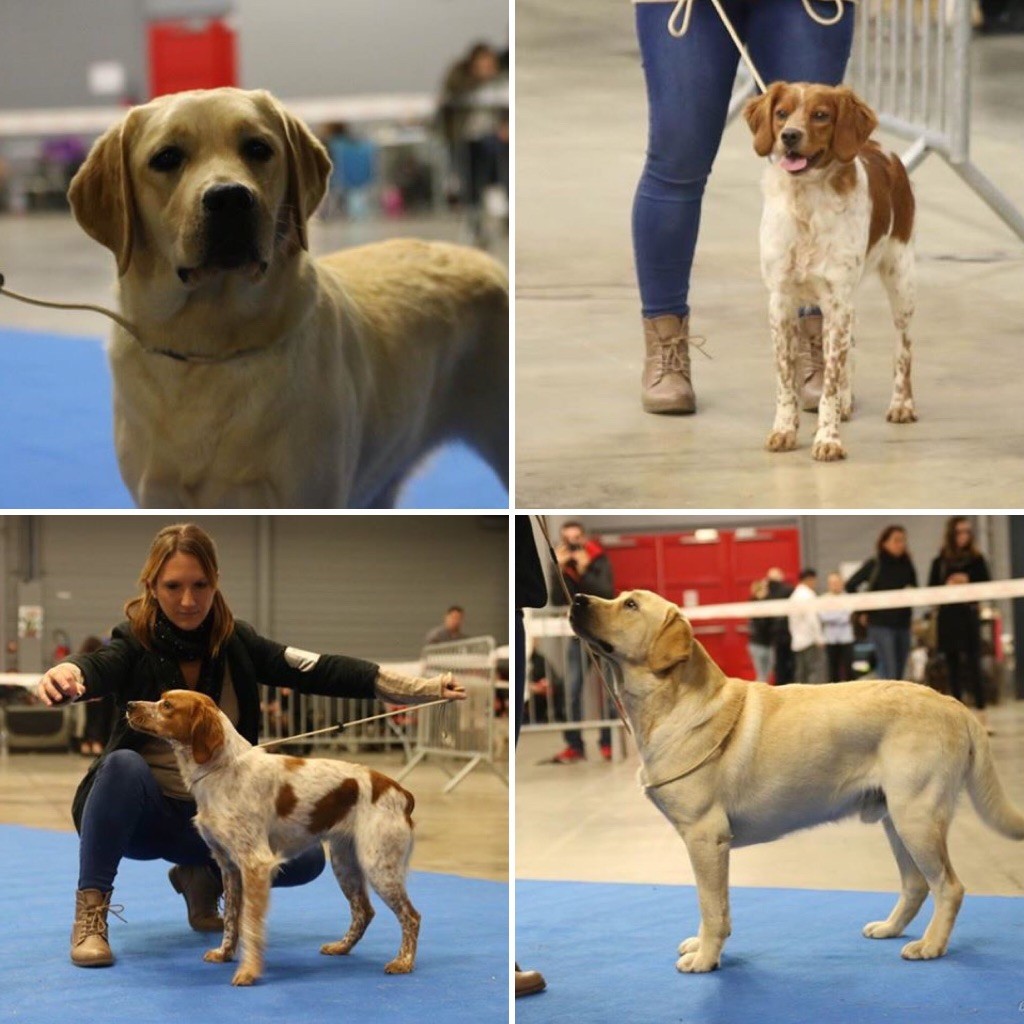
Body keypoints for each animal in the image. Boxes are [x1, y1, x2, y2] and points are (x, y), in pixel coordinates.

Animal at [569, 589, 1024, 970]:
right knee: (916, 884)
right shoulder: (710, 846)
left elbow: (710, 906)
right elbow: (716, 905)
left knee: (949, 886)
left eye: (629, 604)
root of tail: (953, 704)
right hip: (897, 819)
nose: (576, 598)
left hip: (917, 816)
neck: (671, 700)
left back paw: (930, 946)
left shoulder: (705, 836)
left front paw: (705, 959)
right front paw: (702, 946)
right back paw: (889, 928)